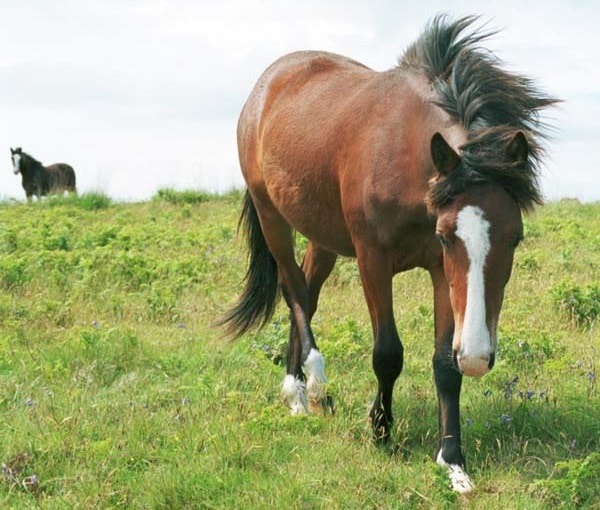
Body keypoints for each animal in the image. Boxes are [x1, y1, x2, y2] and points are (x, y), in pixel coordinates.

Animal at [221, 14, 556, 494]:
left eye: (516, 237)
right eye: (449, 235)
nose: (477, 357)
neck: (406, 155)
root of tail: (268, 83)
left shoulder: (440, 271)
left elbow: (444, 365)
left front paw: (453, 462)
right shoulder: (373, 259)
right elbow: (387, 353)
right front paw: (380, 430)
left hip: (322, 236)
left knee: (307, 292)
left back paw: (300, 388)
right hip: (273, 219)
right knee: (294, 292)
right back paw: (308, 386)